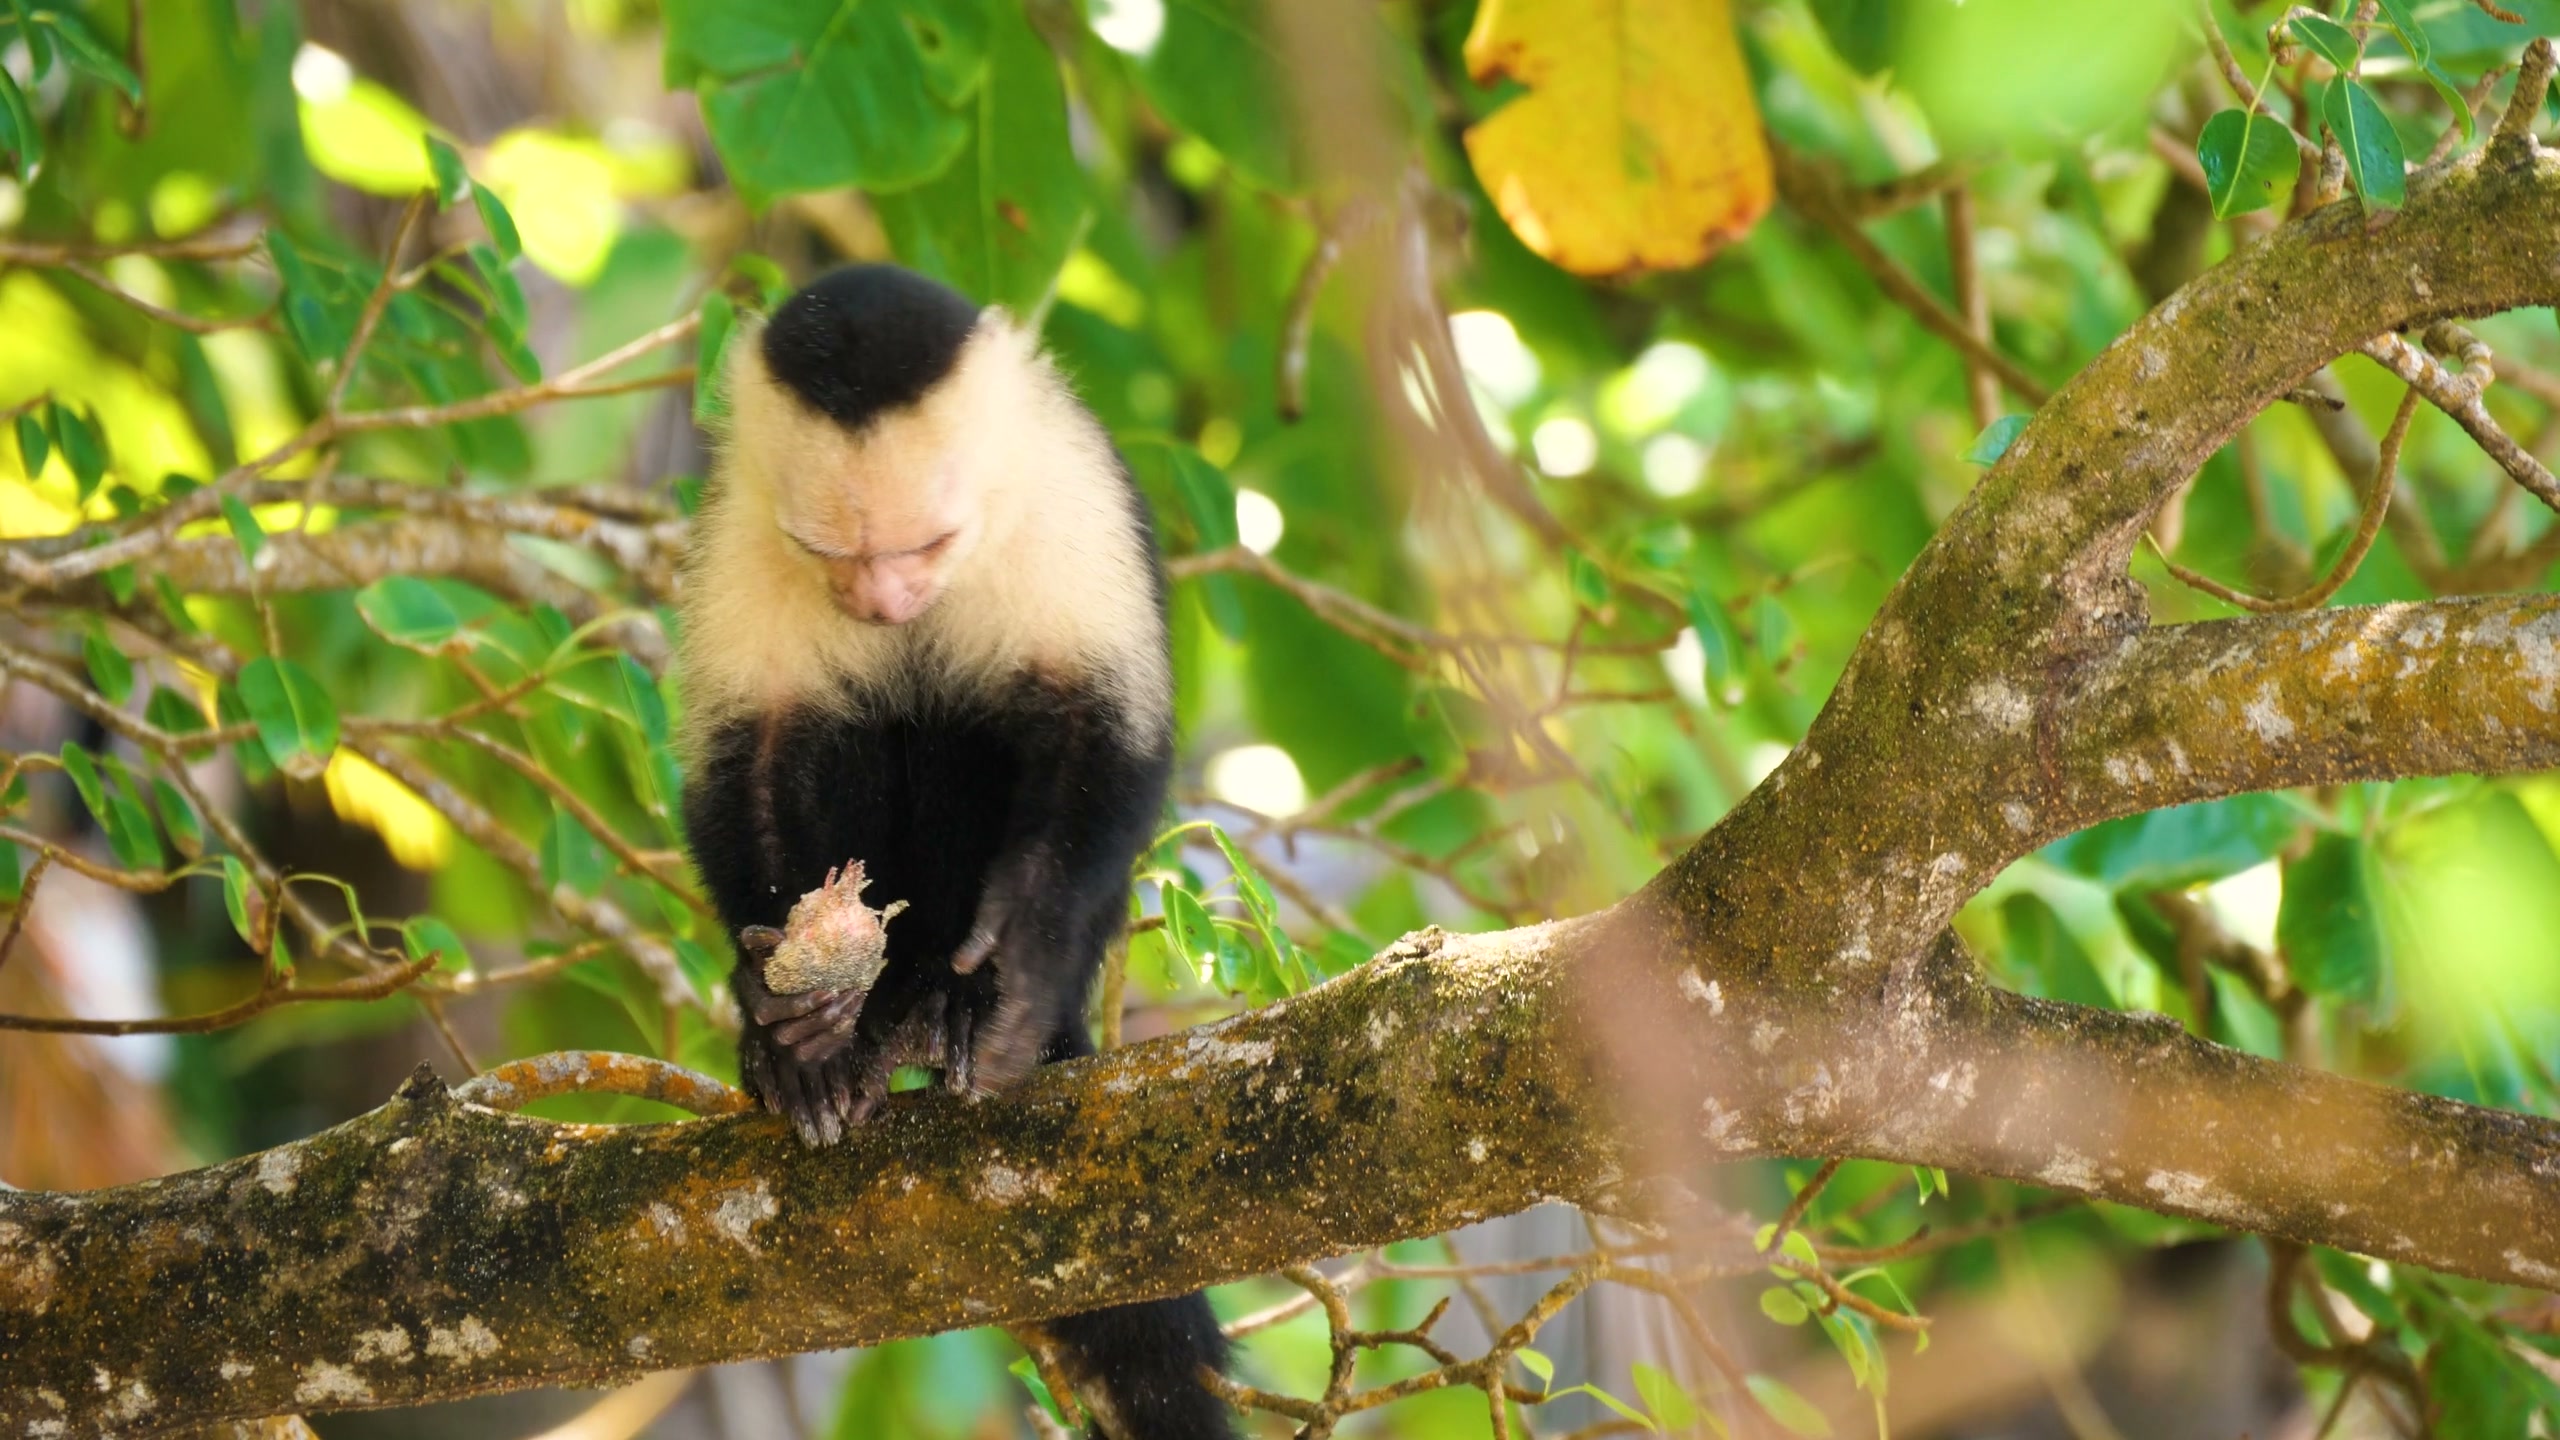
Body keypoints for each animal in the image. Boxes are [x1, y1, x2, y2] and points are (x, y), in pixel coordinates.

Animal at [674, 264, 1233, 1439]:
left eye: (928, 544)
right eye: (832, 553)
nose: (884, 602)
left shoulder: (1071, 497)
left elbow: (1097, 731)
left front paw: (1017, 949)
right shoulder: (739, 532)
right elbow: (755, 754)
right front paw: (784, 1013)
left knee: (974, 722)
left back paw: (951, 1000)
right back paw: (846, 1032)